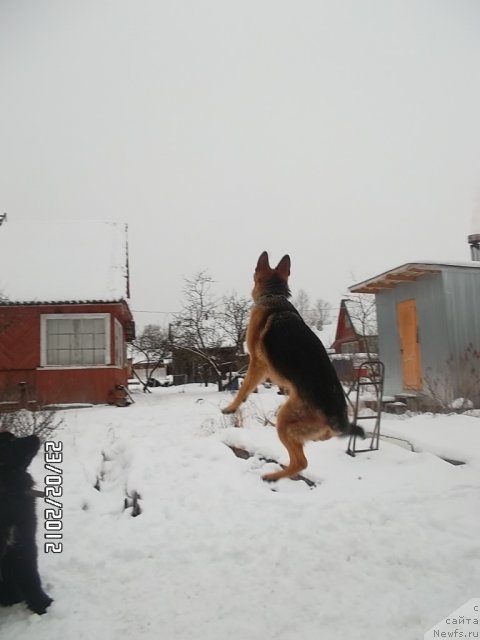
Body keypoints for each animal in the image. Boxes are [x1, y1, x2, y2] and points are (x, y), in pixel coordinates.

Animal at [222, 250, 364, 480]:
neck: (274, 296)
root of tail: (337, 418)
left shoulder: (257, 363)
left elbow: (244, 386)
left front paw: (231, 407)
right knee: (319, 441)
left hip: (284, 419)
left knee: (301, 462)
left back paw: (272, 476)